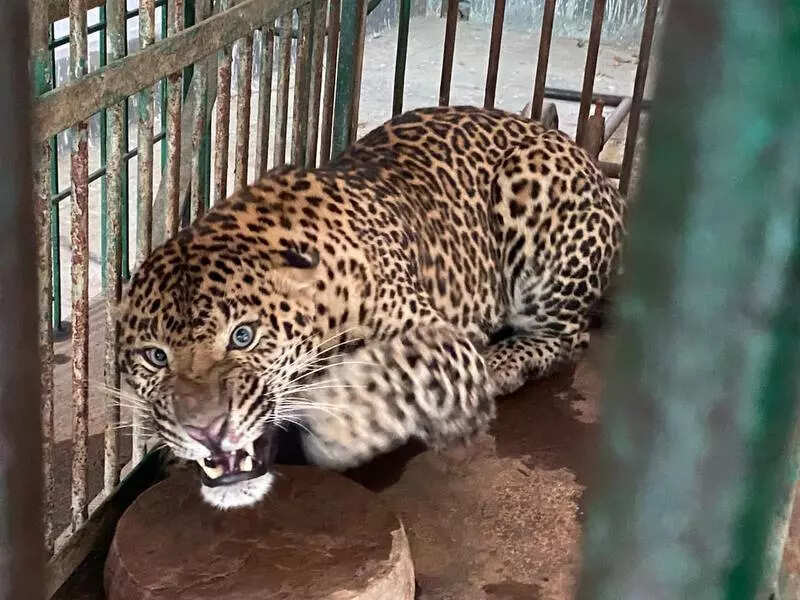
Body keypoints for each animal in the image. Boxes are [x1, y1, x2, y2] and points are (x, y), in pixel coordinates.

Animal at [116, 105, 625, 509]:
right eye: (155, 356)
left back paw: (505, 363)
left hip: (532, 196)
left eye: (243, 336)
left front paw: (337, 429)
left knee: (570, 335)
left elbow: (391, 379)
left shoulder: (440, 341)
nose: (206, 430)